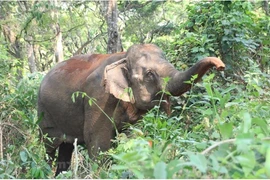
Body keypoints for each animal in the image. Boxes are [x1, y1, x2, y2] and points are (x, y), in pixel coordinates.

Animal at [37, 43, 225, 176]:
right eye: (149, 74)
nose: (221, 65)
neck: (123, 57)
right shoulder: (97, 96)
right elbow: (97, 141)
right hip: (44, 115)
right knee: (49, 149)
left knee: (65, 150)